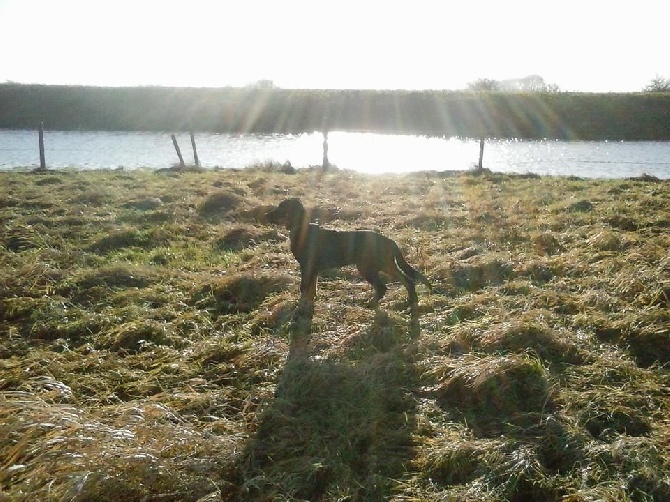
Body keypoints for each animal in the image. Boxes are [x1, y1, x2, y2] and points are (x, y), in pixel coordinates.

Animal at [266, 198, 434, 308]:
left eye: (280, 208)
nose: (266, 215)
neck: (301, 229)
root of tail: (390, 241)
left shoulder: (307, 266)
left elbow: (304, 287)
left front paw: (302, 305)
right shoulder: (314, 269)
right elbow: (312, 288)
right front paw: (310, 301)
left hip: (367, 266)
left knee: (383, 287)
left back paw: (372, 303)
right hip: (385, 264)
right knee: (407, 280)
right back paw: (411, 300)